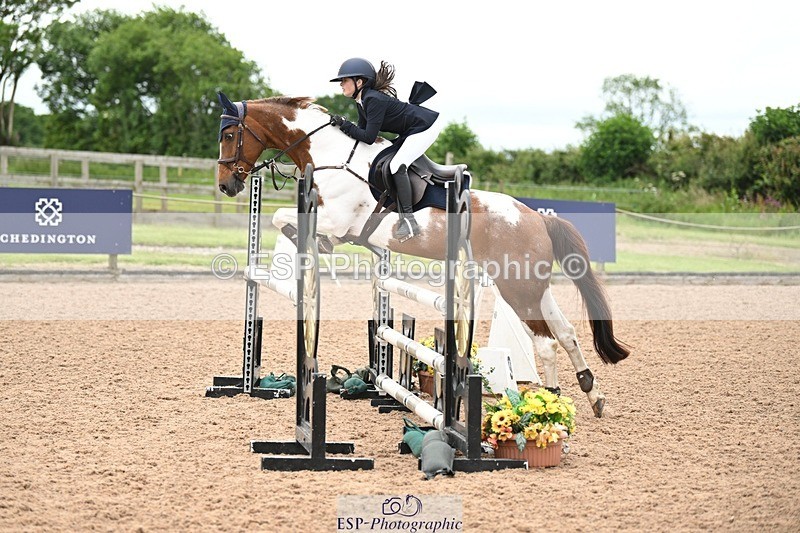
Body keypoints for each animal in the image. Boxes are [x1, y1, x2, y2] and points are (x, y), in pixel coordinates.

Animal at [215, 93, 630, 417]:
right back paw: (593, 396)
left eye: (230, 135)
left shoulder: (337, 219)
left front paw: (313, 244)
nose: (226, 185)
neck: (332, 156)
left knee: (545, 342)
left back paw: (551, 400)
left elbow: (282, 218)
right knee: (567, 333)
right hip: (533, 288)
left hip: (516, 288)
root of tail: (538, 218)